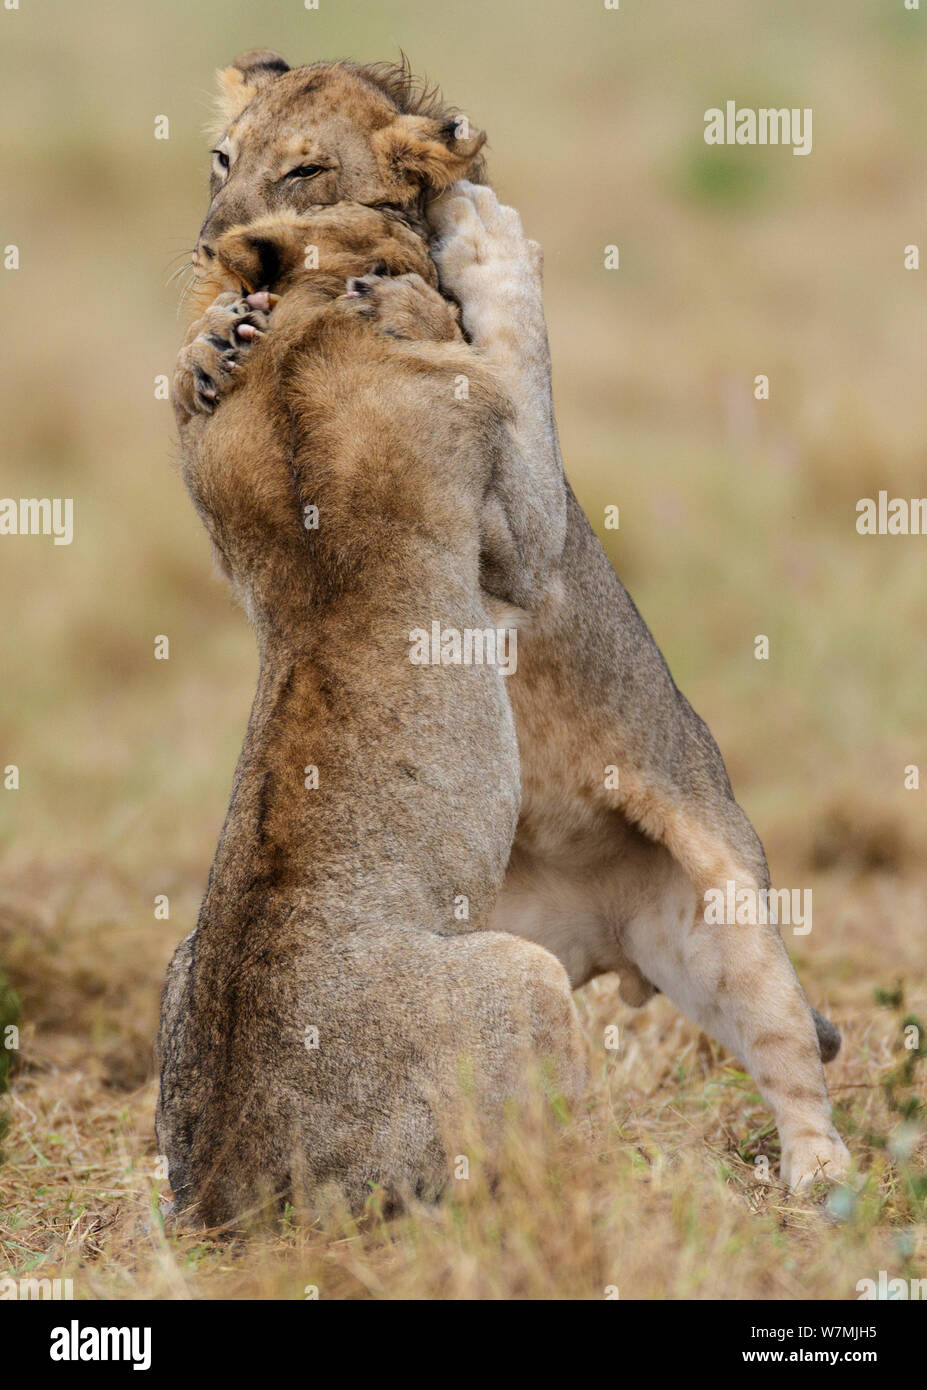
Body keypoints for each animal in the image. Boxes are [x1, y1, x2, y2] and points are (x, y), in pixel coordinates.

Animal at [172, 48, 850, 1189]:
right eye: (222, 157)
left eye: (304, 168)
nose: (209, 240)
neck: (310, 322)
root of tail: (231, 1185)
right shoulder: (505, 532)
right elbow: (513, 372)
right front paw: (209, 343)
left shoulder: (507, 534)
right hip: (520, 962)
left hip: (726, 913)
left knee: (791, 1055)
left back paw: (814, 1178)